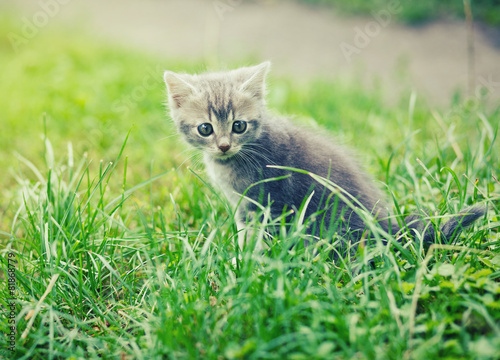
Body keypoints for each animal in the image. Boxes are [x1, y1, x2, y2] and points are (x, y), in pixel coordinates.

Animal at [164, 61, 484, 253]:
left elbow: (255, 235)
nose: (223, 146)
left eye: (238, 126)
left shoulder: (266, 202)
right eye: (205, 128)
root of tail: (385, 225)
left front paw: (245, 261)